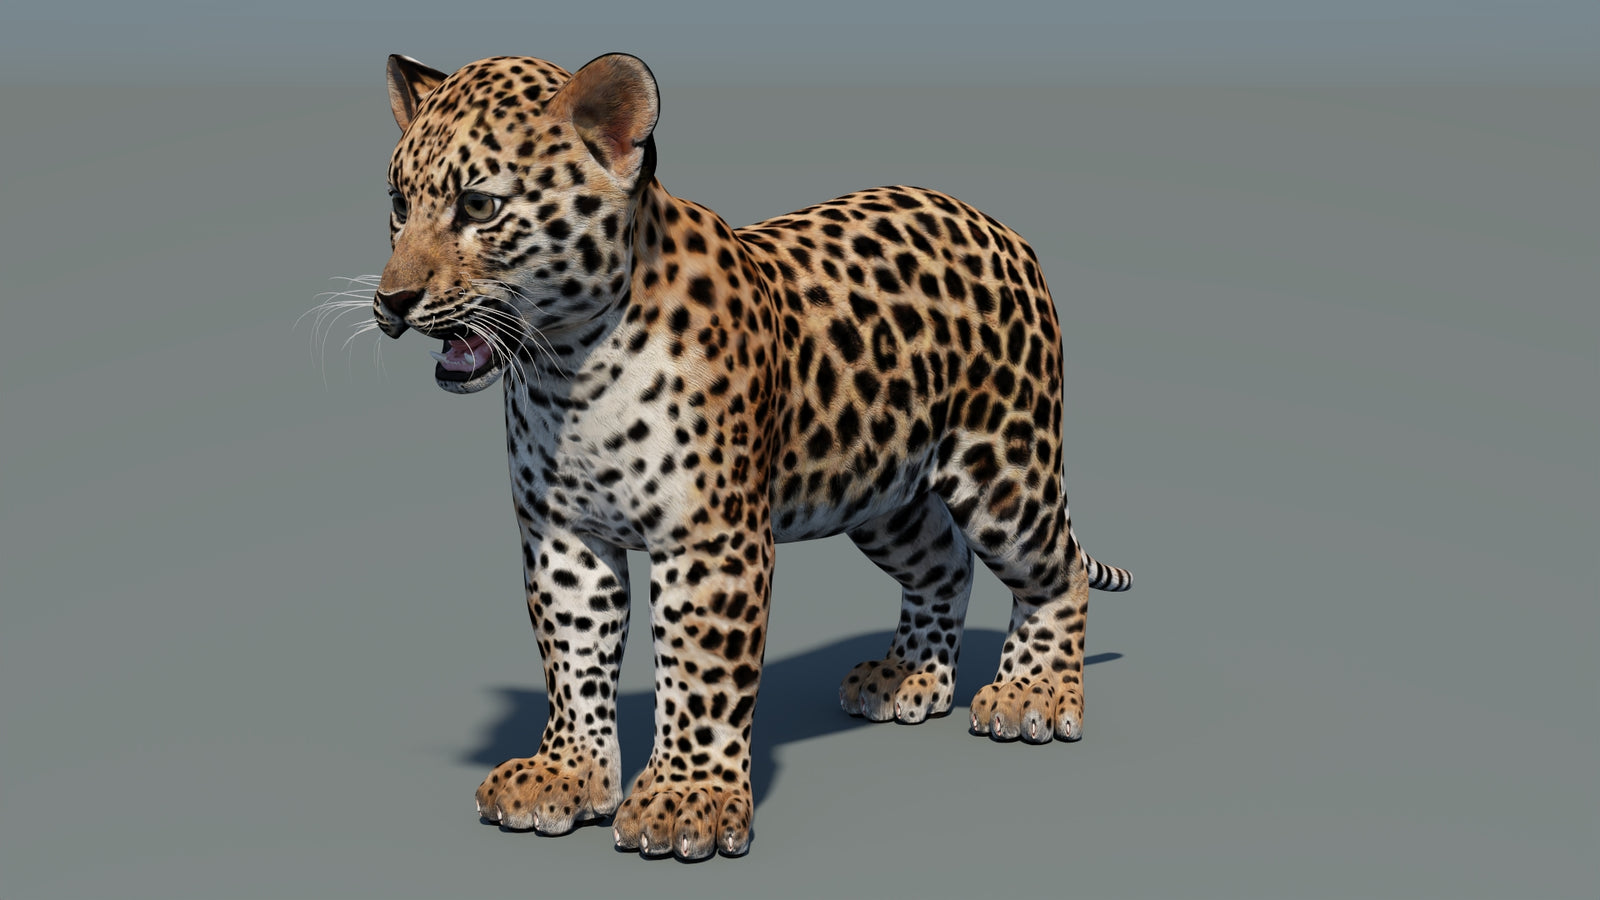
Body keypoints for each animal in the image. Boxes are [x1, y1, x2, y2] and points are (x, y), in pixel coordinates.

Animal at [369, 51, 1132, 860]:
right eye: (397, 204)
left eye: (479, 206)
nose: (392, 301)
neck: (570, 372)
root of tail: (997, 224)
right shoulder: (564, 535)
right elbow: (573, 656)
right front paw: (566, 773)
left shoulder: (710, 540)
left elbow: (699, 671)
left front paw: (685, 800)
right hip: (883, 495)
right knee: (946, 564)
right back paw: (908, 678)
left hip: (1004, 467)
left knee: (1057, 569)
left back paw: (1032, 695)